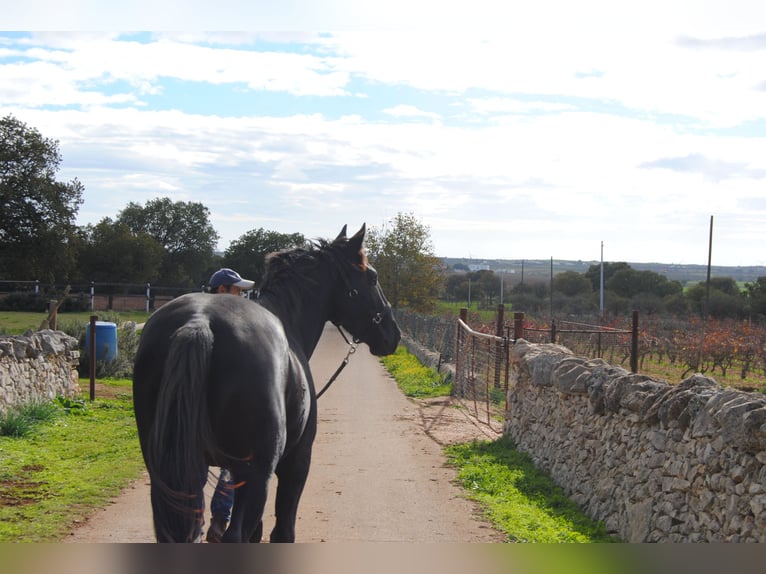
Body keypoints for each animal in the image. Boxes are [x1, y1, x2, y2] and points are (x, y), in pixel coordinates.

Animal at [134, 225, 402, 544]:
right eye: (371, 276)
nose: (393, 334)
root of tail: (199, 323)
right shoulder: (296, 463)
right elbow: (282, 530)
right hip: (255, 475)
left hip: (172, 473)